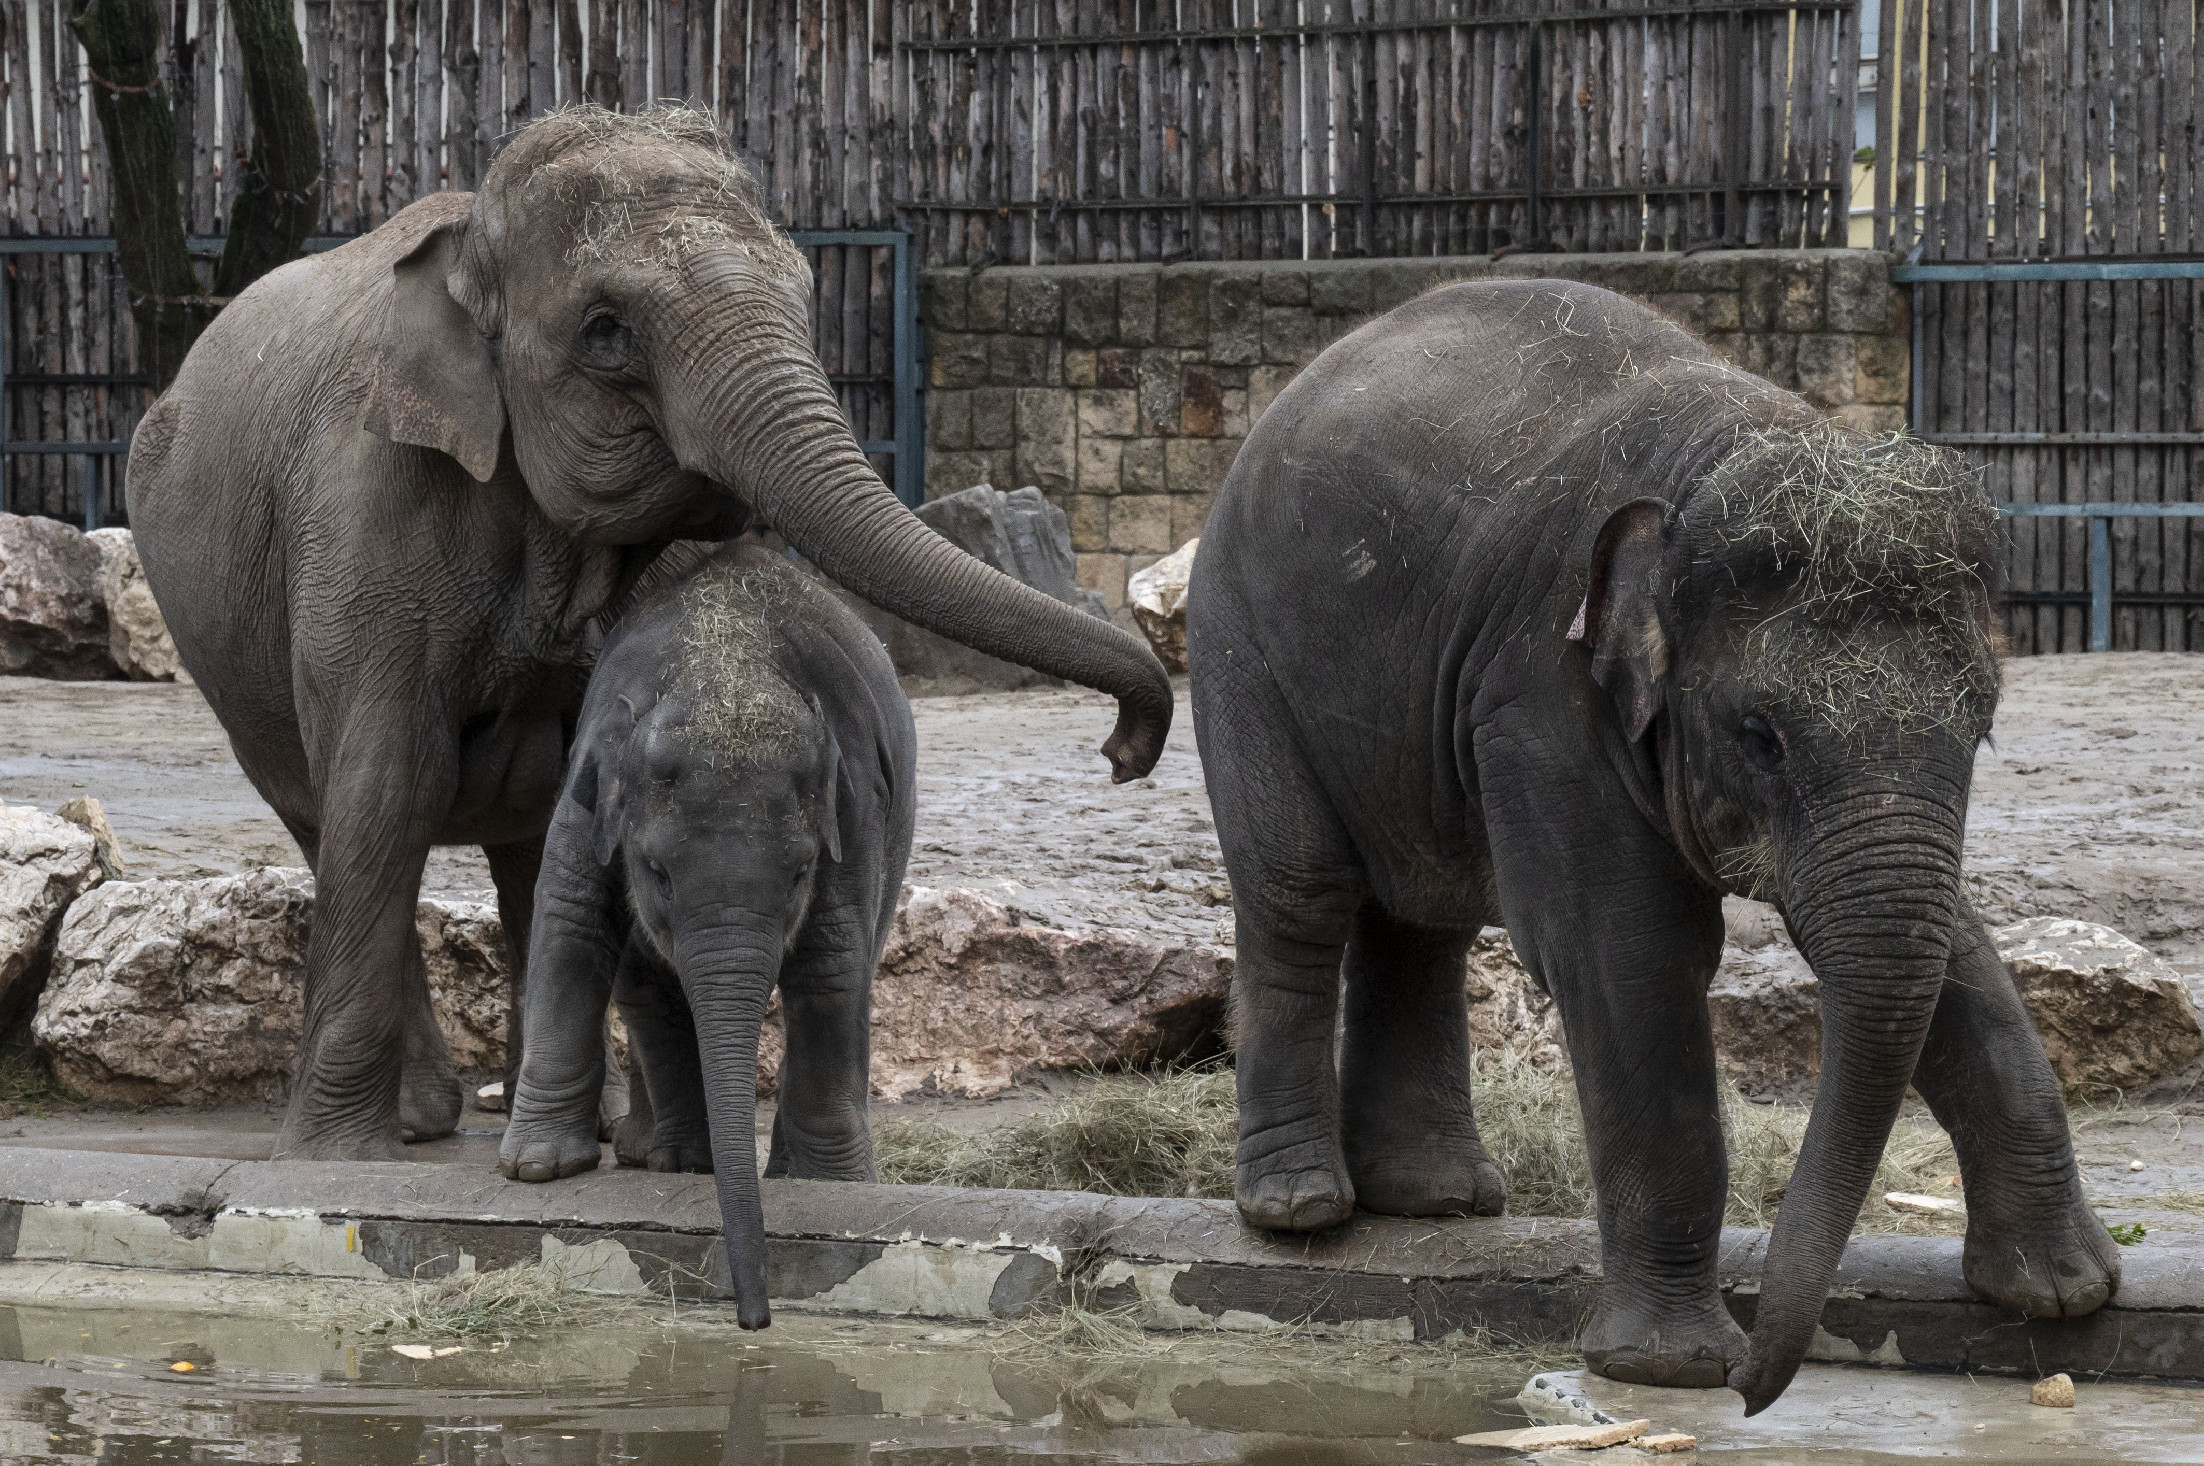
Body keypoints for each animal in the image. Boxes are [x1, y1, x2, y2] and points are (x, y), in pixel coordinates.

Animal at [125, 108, 1172, 1163]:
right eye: (605, 330)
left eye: (804, 295)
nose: (1123, 751)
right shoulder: (364, 515)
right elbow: (391, 784)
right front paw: (340, 1159)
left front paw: (643, 1151)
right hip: (236, 674)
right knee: (329, 817)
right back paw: (422, 1122)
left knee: (525, 843)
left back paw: (584, 1127)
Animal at [500, 540, 912, 1322]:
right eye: (656, 873)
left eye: (798, 874)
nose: (755, 1322)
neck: (724, 669)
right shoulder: (588, 791)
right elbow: (569, 920)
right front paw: (537, 1171)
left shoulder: (854, 809)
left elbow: (831, 961)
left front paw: (833, 1188)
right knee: (646, 987)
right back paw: (679, 1160)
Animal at [1190, 279, 2115, 1410]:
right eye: (1760, 736)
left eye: (1981, 723)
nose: (1758, 1388)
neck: (1721, 463)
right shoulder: (1540, 692)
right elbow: (1623, 952)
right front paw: (1668, 1367)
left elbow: (1944, 943)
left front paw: (2064, 1296)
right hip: (1235, 642)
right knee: (1302, 889)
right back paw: (1301, 1211)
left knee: (1421, 912)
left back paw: (1439, 1200)